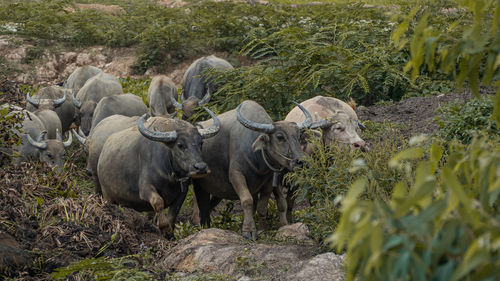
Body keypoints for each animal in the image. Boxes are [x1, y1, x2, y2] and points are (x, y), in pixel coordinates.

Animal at [97, 107, 221, 236]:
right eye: (180, 145)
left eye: (201, 143)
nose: (201, 168)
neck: (169, 175)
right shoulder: (145, 188)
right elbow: (158, 202)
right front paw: (164, 227)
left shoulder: (182, 192)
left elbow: (174, 211)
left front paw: (169, 233)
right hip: (107, 196)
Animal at [191, 99, 312, 237]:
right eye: (280, 137)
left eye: (298, 136)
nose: (302, 162)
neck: (257, 159)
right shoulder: (236, 175)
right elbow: (247, 201)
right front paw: (248, 231)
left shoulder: (268, 182)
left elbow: (261, 207)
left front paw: (262, 230)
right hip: (199, 185)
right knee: (202, 207)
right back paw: (201, 226)